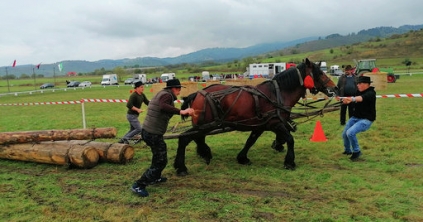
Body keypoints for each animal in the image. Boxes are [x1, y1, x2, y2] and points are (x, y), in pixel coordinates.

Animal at [174, 58, 340, 176]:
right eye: (320, 73)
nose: (335, 88)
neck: (277, 93)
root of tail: (197, 93)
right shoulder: (275, 123)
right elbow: (290, 139)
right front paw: (289, 162)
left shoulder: (260, 125)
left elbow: (251, 141)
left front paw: (243, 158)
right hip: (204, 125)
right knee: (185, 138)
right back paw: (182, 167)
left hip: (204, 125)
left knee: (197, 139)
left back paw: (203, 154)